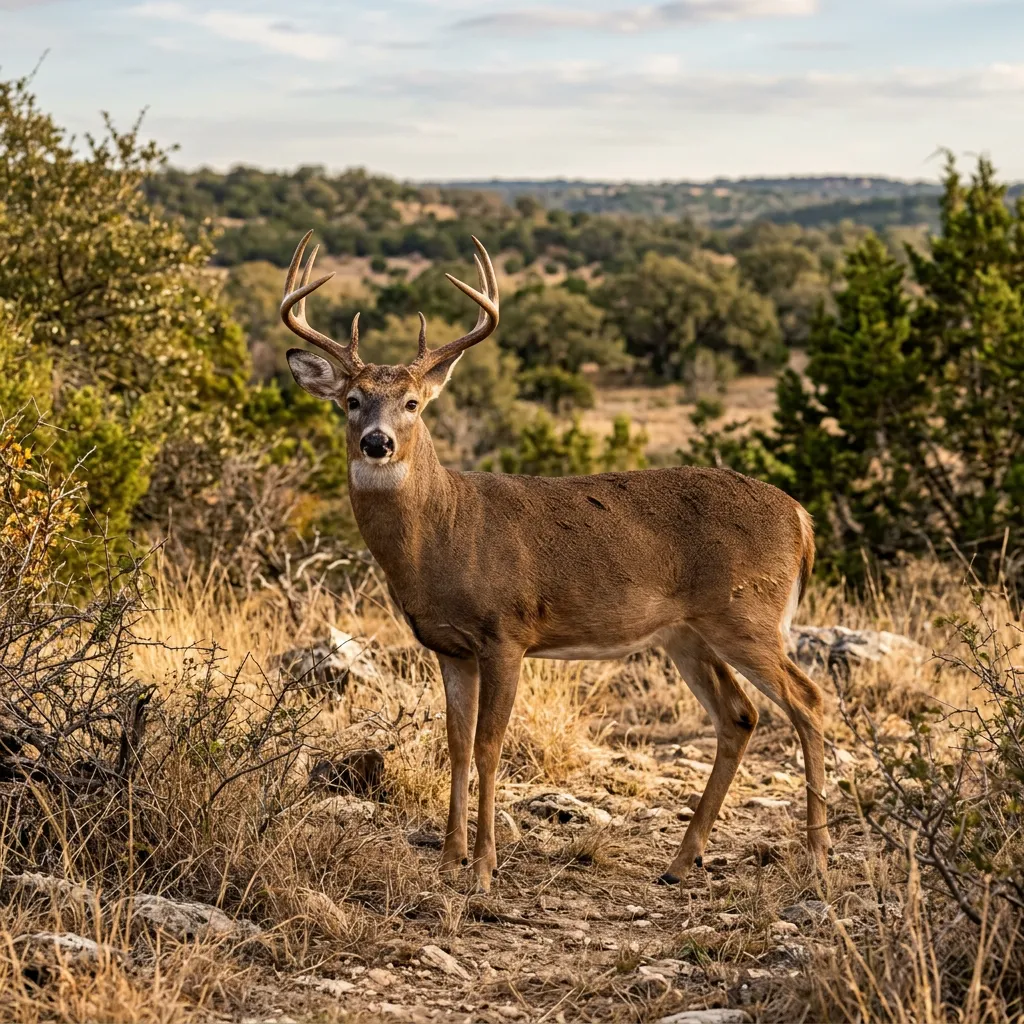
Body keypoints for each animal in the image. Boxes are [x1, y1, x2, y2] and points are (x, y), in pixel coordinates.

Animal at [281, 231, 831, 893]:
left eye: (412, 402)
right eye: (352, 401)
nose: (377, 442)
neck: (445, 533)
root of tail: (801, 518)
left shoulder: (507, 632)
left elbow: (490, 746)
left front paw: (484, 867)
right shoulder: (448, 646)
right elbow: (456, 744)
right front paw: (448, 859)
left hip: (747, 615)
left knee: (808, 701)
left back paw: (817, 859)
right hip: (686, 633)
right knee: (740, 715)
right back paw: (681, 862)